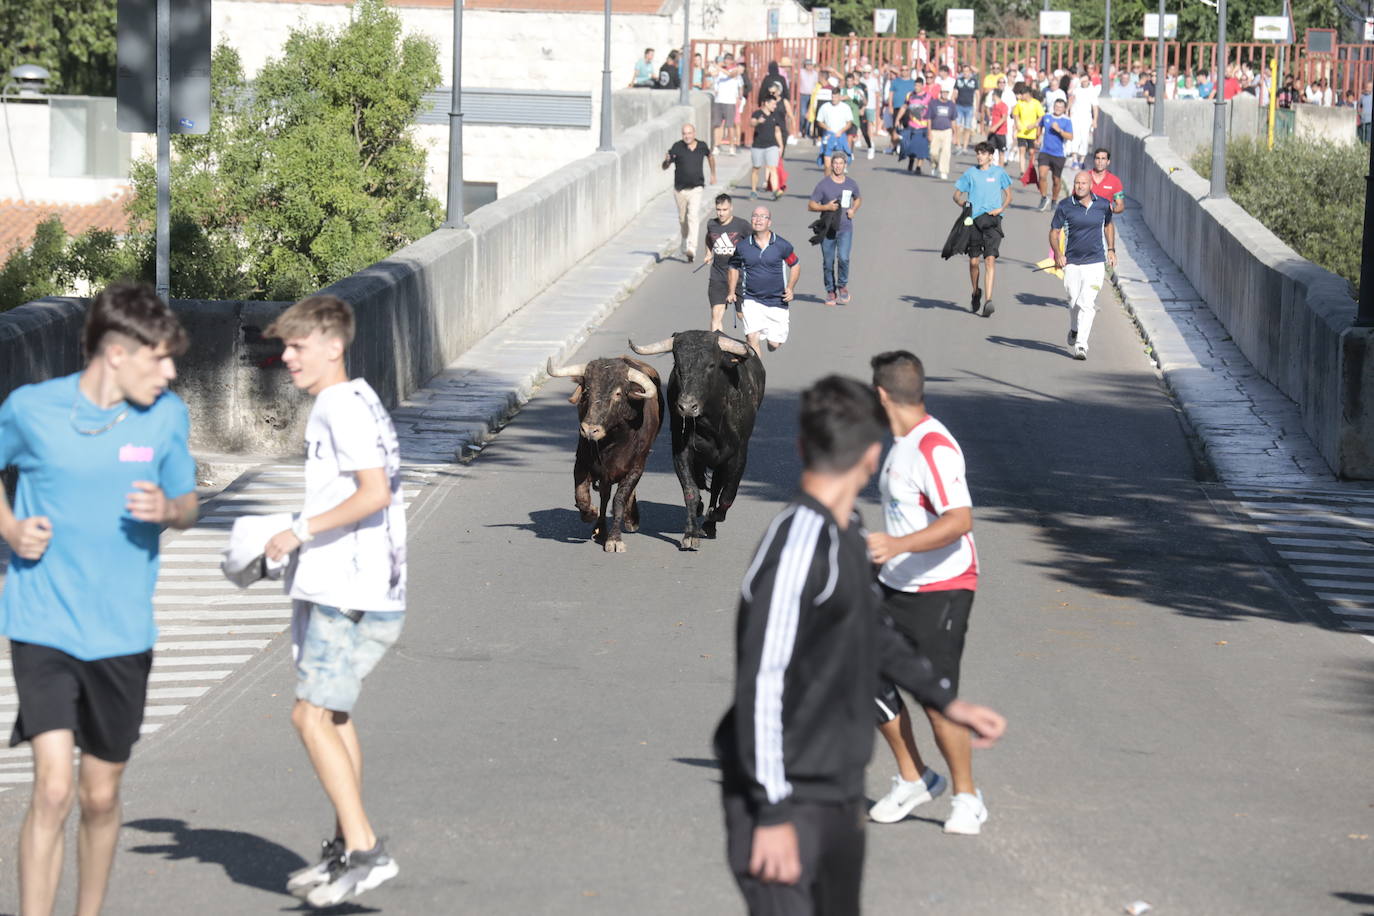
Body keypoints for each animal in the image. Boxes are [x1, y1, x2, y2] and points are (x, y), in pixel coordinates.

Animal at [544, 354, 662, 552]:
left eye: (618, 393)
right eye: (587, 391)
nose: (589, 430)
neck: (612, 442)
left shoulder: (636, 468)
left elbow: (619, 499)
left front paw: (614, 539)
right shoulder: (582, 462)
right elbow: (582, 495)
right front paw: (591, 513)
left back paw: (630, 520)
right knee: (604, 496)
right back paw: (600, 529)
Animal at [629, 330, 769, 552]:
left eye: (711, 365)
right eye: (678, 365)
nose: (687, 406)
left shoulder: (738, 454)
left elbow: (728, 493)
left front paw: (714, 516)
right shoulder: (681, 450)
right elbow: (691, 491)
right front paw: (690, 534)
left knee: (719, 487)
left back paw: (711, 523)